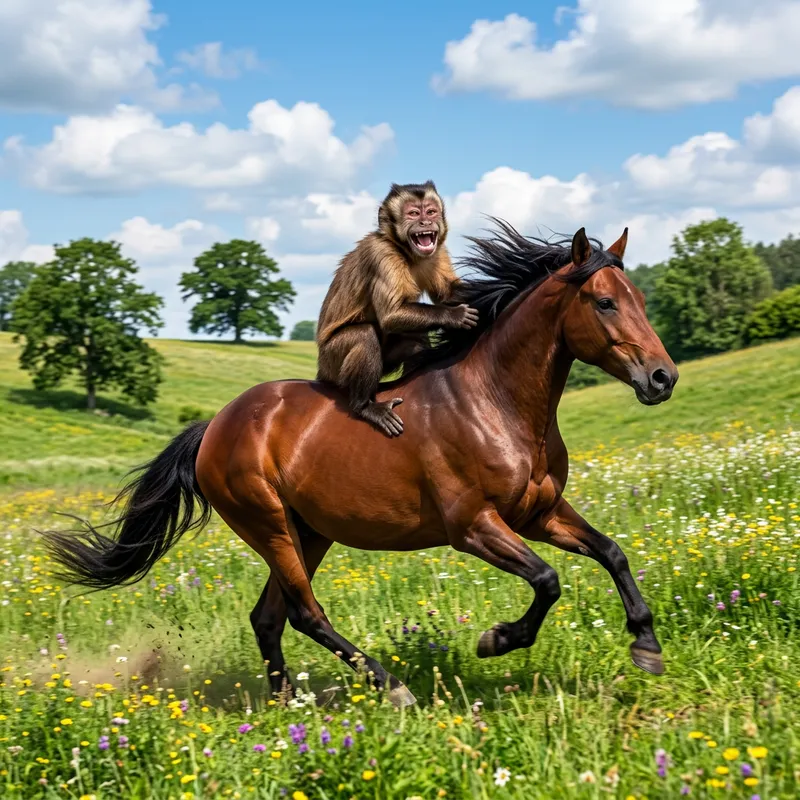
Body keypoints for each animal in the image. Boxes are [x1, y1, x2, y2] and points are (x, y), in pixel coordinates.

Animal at [42, 220, 678, 708]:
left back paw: (286, 706)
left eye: (644, 300)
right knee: (304, 613)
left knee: (268, 617)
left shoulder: (539, 513)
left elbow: (612, 552)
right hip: (270, 526)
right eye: (604, 301)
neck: (494, 402)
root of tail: (214, 428)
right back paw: (390, 687)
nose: (662, 378)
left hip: (310, 532)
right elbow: (547, 580)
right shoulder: (473, 526)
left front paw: (646, 646)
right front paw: (496, 640)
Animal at [315, 180, 478, 437]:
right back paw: (364, 406)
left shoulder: (438, 250)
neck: (407, 252)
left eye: (430, 211)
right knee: (364, 335)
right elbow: (391, 315)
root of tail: (320, 372)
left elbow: (448, 293)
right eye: (413, 213)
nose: (425, 222)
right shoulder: (382, 254)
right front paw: (455, 315)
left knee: (415, 343)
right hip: (331, 362)